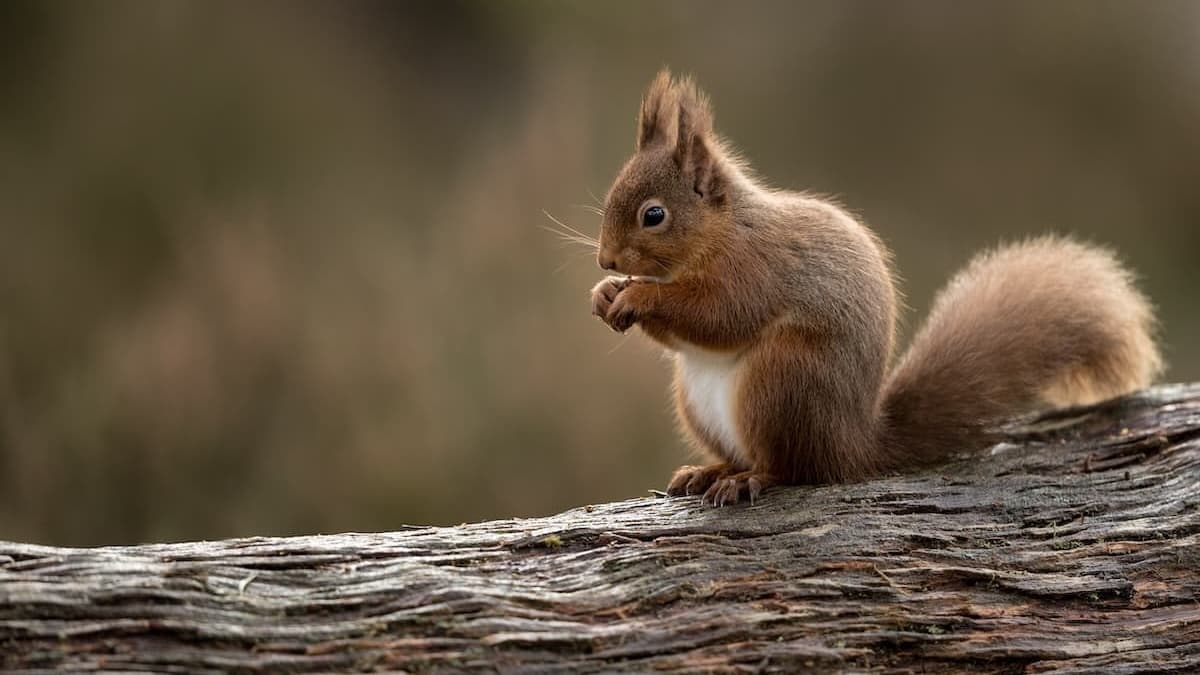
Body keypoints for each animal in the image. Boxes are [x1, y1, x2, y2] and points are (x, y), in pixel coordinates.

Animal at [590, 70, 1162, 506]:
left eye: (654, 215)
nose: (605, 258)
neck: (723, 231)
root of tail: (853, 444)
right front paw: (605, 292)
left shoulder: (754, 271)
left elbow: (719, 316)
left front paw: (637, 296)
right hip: (699, 399)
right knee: (743, 454)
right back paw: (708, 471)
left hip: (781, 380)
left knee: (792, 467)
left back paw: (748, 479)